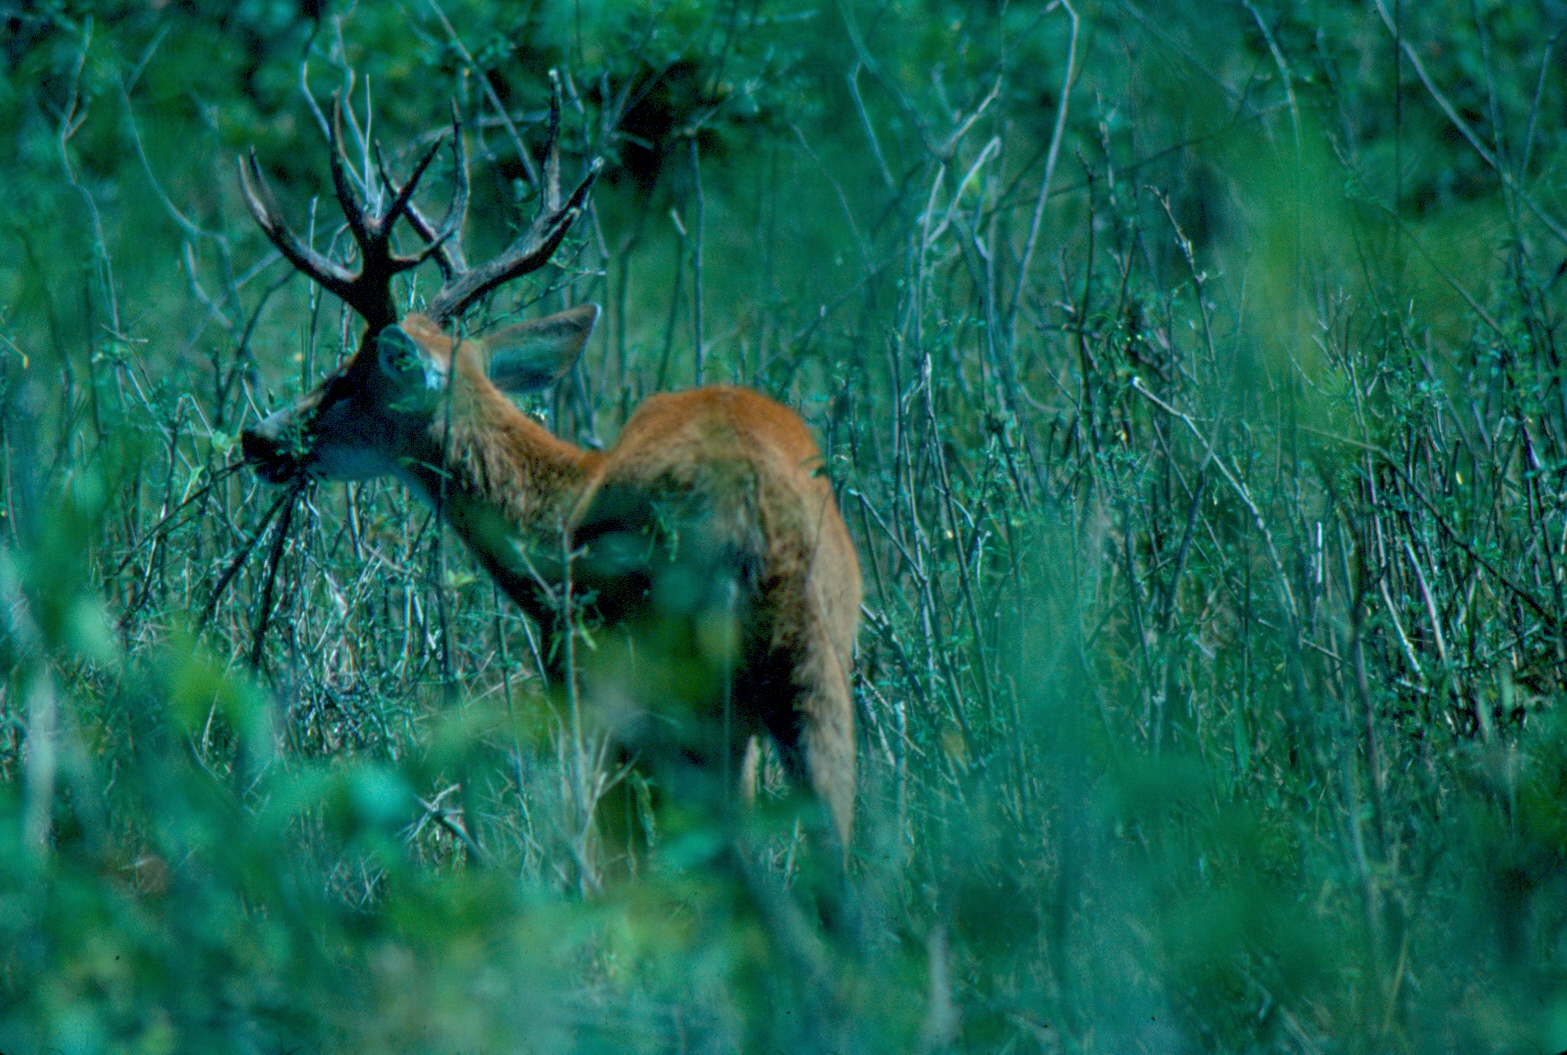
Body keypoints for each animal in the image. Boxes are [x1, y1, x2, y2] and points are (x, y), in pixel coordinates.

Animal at [236, 82, 861, 886]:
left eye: (346, 379)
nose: (258, 436)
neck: (557, 506)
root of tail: (761, 520)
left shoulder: (585, 677)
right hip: (816, 674)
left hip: (685, 681)